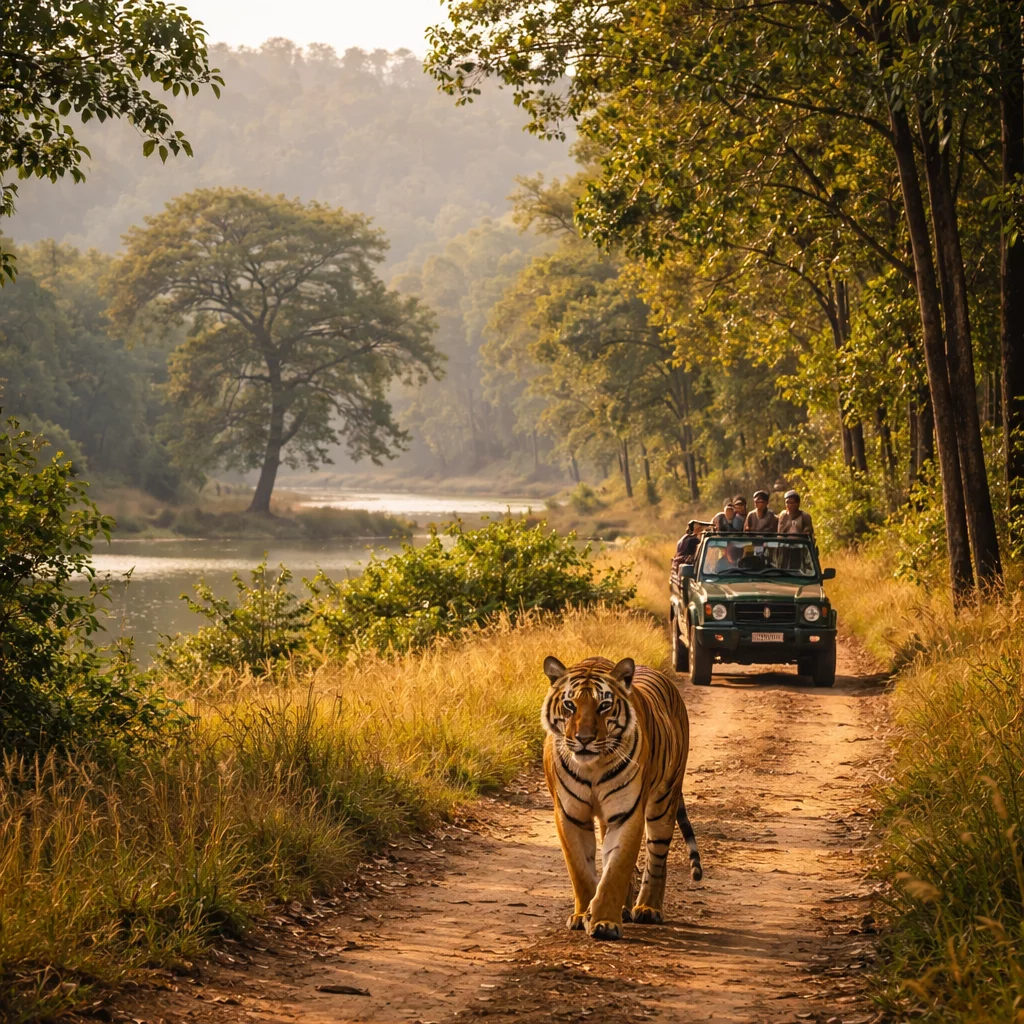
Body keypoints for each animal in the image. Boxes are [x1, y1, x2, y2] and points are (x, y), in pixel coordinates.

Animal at [541, 655, 703, 940]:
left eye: (604, 706)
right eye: (570, 705)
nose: (584, 739)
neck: (592, 766)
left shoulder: (627, 813)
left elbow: (616, 869)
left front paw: (604, 922)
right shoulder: (570, 815)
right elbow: (581, 869)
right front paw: (583, 915)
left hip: (664, 803)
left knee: (657, 859)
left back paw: (648, 908)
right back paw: (625, 909)